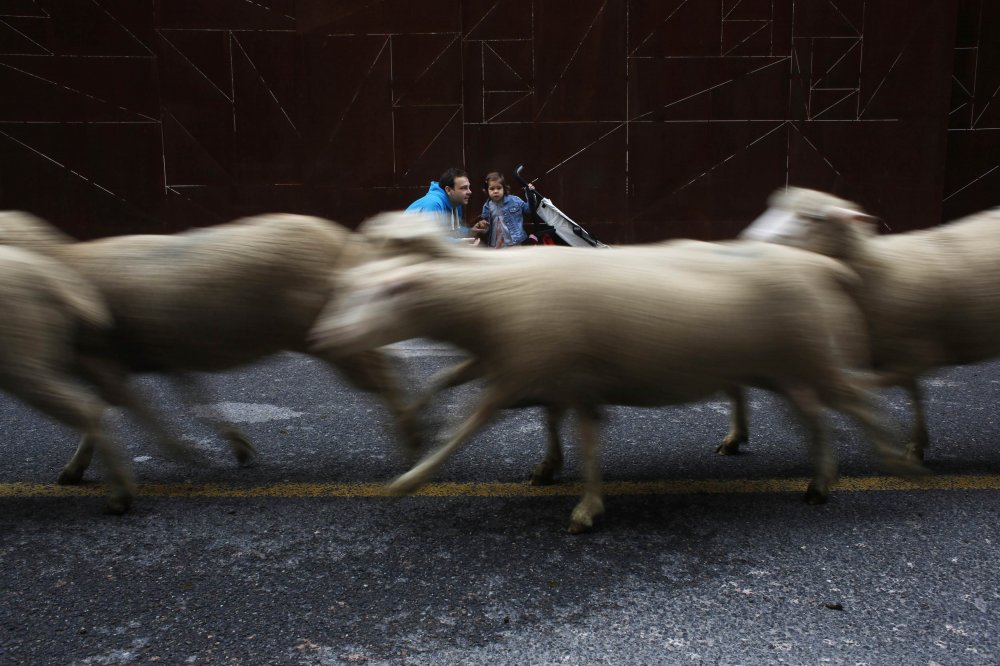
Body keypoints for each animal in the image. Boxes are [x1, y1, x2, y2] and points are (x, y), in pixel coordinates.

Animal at [0, 210, 416, 510]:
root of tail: (344, 241)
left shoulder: (104, 361)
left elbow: (124, 412)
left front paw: (179, 454)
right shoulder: (157, 357)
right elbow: (190, 399)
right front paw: (235, 446)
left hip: (326, 337)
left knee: (383, 374)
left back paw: (411, 435)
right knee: (387, 367)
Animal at [740, 184, 1000, 460]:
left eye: (813, 218)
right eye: (773, 207)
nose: (753, 238)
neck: (875, 271)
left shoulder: (918, 352)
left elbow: (887, 387)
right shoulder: (891, 352)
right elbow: (913, 390)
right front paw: (916, 442)